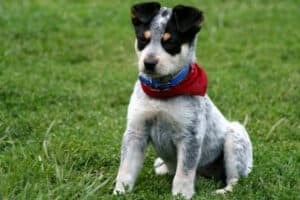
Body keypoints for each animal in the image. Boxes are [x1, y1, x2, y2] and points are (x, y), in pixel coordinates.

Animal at [113, 1, 252, 198]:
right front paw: (120, 191)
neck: (162, 92)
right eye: (143, 39)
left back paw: (223, 191)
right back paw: (162, 167)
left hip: (235, 137)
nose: (149, 63)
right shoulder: (136, 131)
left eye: (171, 42)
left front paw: (181, 194)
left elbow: (184, 172)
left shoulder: (190, 136)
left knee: (235, 179)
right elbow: (126, 168)